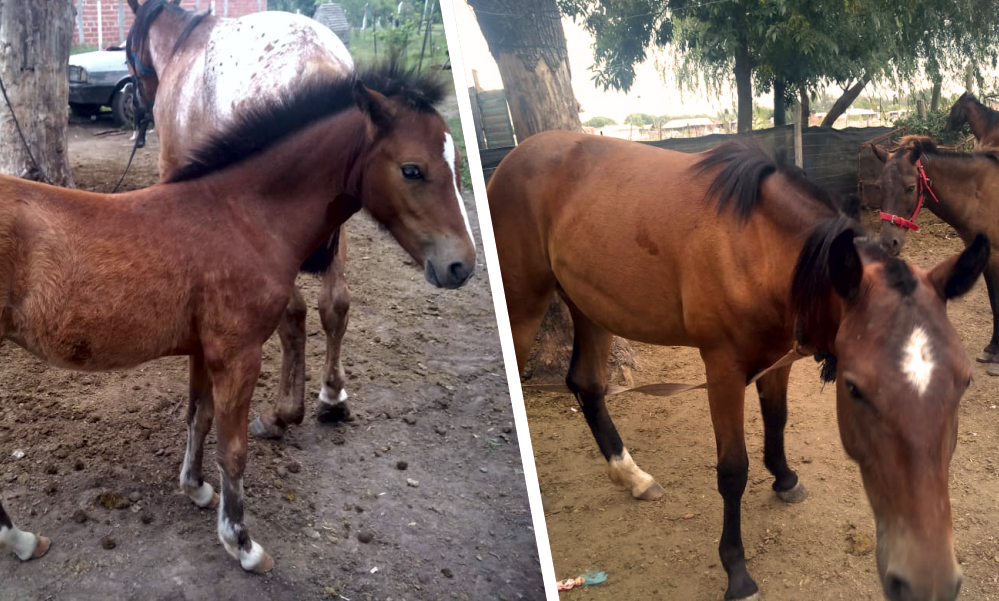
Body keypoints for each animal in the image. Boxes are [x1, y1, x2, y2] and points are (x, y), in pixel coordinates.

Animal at [0, 64, 476, 572]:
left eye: (456, 165)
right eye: (412, 169)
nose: (461, 266)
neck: (243, 217)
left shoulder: (203, 350)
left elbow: (199, 417)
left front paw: (194, 488)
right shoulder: (239, 353)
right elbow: (234, 449)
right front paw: (241, 543)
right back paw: (22, 540)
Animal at [125, 0, 362, 437]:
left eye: (129, 54)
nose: (137, 108)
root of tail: (315, 59)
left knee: (294, 313)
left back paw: (283, 413)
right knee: (335, 304)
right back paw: (332, 397)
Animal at [488, 131, 986, 601]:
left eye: (963, 382)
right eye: (854, 388)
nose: (927, 579)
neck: (755, 243)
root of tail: (514, 158)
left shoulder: (778, 358)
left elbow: (777, 420)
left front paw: (784, 478)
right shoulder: (722, 371)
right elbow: (732, 470)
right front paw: (737, 571)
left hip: (590, 307)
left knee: (587, 385)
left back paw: (632, 476)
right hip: (522, 306)